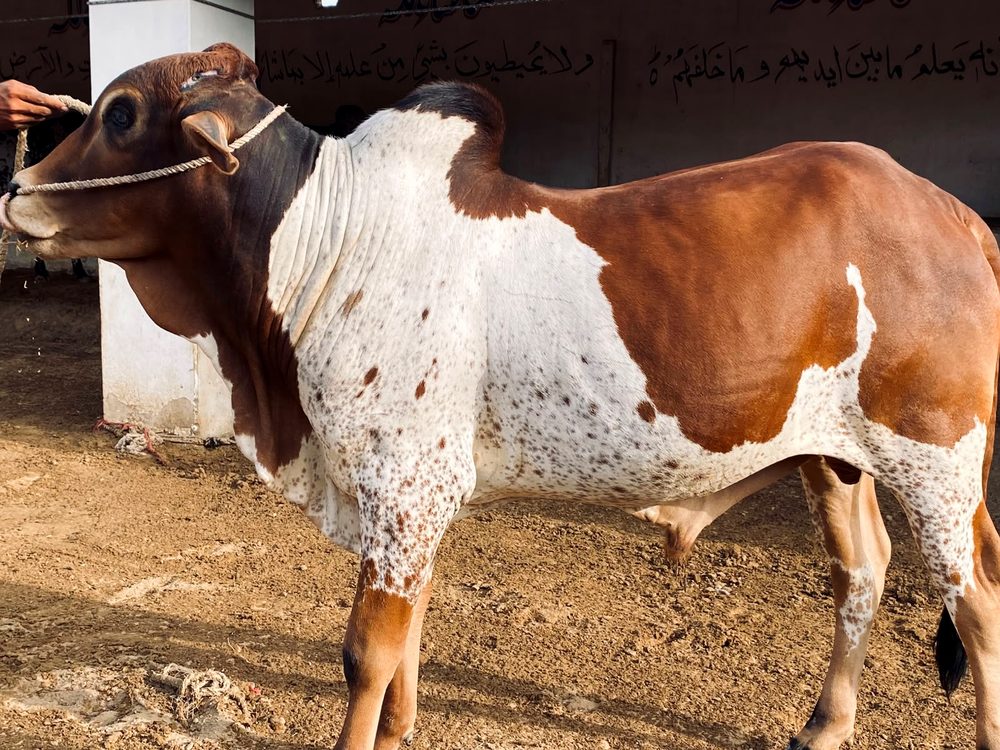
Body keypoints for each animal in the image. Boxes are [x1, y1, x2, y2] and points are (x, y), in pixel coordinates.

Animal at [2, 43, 998, 750]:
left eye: (120, 114)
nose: (17, 187)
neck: (328, 238)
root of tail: (952, 212)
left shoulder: (404, 484)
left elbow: (367, 653)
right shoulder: (409, 500)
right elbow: (405, 641)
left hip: (935, 458)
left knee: (976, 597)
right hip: (834, 457)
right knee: (861, 573)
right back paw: (825, 724)